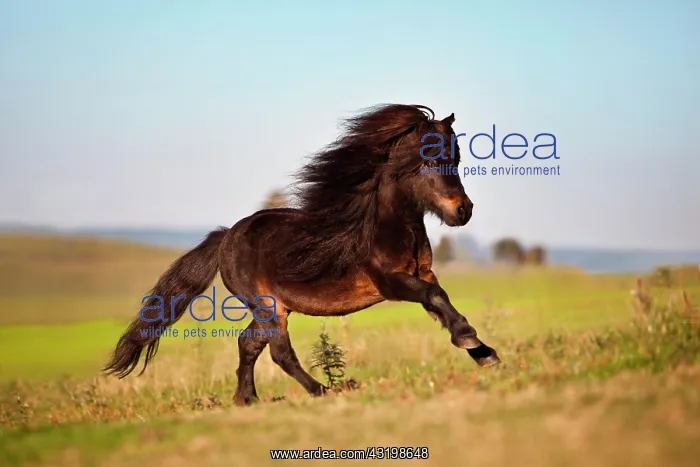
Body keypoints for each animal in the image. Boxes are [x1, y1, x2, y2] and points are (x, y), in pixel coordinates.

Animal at [103, 103, 501, 406]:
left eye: (457, 159)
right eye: (429, 162)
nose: (462, 210)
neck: (382, 228)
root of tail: (227, 236)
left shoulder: (422, 274)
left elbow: (439, 300)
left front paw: (485, 353)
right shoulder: (391, 283)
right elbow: (434, 297)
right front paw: (470, 339)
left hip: (274, 308)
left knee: (249, 343)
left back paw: (248, 399)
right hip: (268, 307)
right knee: (278, 352)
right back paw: (322, 390)